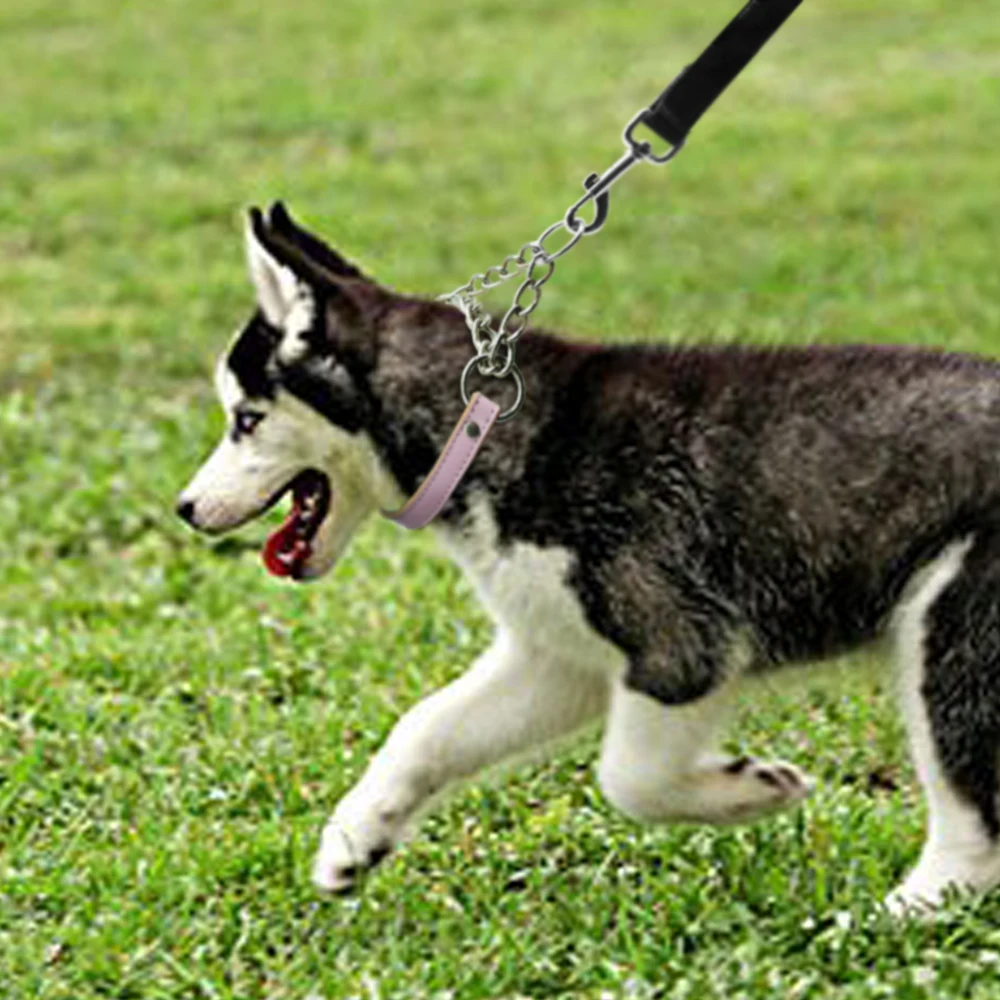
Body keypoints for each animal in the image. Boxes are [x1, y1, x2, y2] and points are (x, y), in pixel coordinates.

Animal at [182, 203, 1000, 916]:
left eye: (245, 420)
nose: (185, 509)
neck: (480, 429)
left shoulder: (678, 646)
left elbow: (627, 778)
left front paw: (754, 789)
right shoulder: (556, 653)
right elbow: (426, 728)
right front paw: (356, 840)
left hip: (948, 634)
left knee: (971, 820)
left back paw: (900, 911)